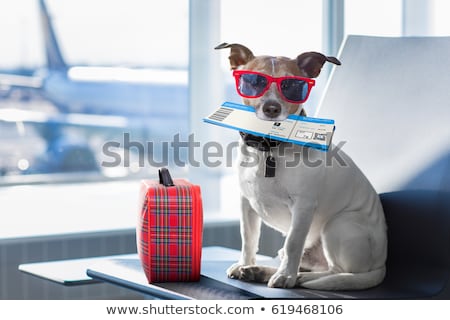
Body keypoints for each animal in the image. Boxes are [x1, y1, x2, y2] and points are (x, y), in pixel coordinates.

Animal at [214, 42, 386, 290]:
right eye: (254, 81)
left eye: (292, 85)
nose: (272, 108)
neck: (269, 148)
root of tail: (382, 264)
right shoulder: (246, 203)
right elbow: (248, 238)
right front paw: (244, 263)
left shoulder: (303, 207)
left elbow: (293, 242)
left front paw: (286, 276)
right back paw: (259, 271)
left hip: (339, 224)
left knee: (335, 272)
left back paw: (297, 278)